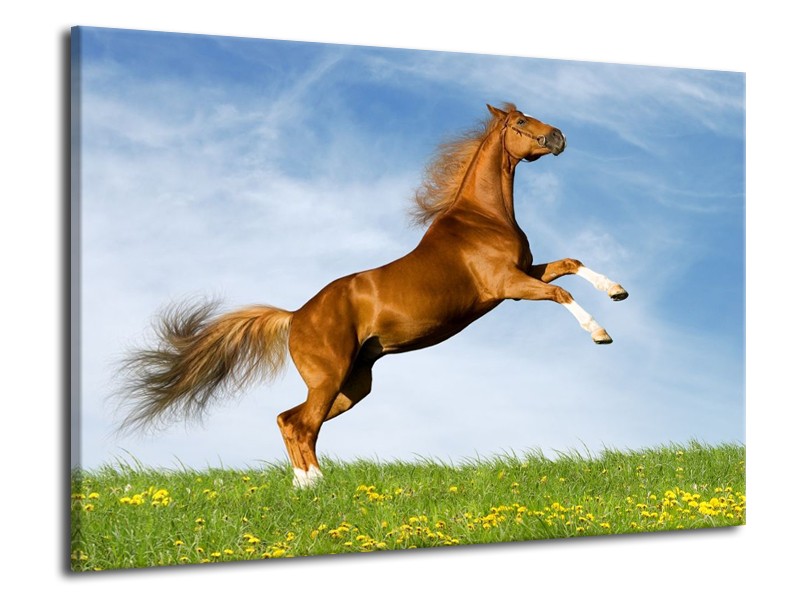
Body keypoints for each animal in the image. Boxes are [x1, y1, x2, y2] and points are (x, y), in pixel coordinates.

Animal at [119, 103, 628, 488]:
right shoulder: (508, 286)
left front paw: (617, 291)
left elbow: (571, 264)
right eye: (521, 122)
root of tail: (294, 316)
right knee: (299, 424)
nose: (559, 136)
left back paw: (305, 486)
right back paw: (317, 485)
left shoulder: (524, 273)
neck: (482, 218)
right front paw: (600, 333)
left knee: (290, 420)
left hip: (352, 386)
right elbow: (559, 292)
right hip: (329, 378)